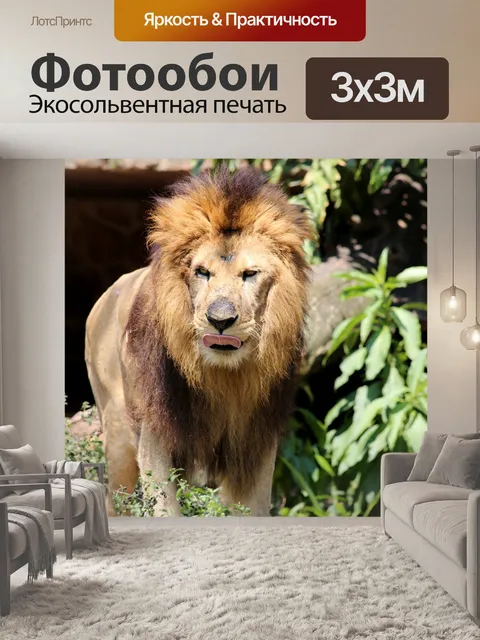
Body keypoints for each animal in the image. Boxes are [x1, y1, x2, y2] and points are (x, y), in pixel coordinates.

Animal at [85, 166, 313, 516]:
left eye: (250, 274)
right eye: (202, 272)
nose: (220, 320)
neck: (223, 377)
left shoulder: (257, 444)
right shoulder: (155, 435)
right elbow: (165, 507)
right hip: (118, 432)